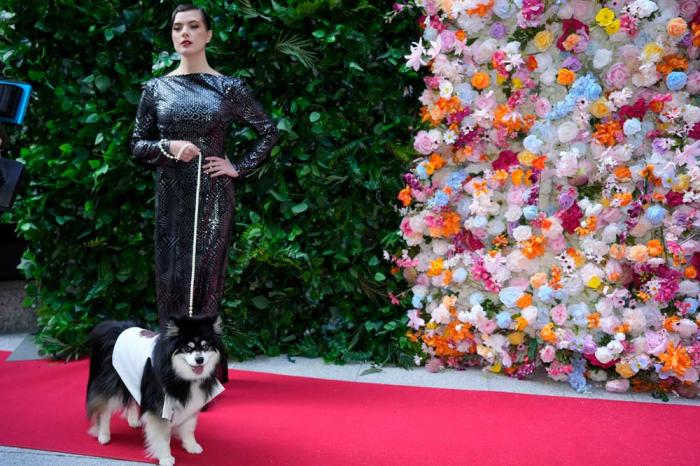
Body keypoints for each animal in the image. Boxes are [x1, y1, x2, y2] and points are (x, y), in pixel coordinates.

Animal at [86, 314, 226, 464]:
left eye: (206, 346)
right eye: (188, 348)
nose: (200, 360)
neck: (176, 372)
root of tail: (114, 327)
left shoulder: (192, 403)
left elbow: (189, 427)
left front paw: (191, 446)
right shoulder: (159, 406)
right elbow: (163, 435)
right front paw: (166, 458)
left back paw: (133, 421)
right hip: (112, 383)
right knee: (104, 410)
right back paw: (104, 435)